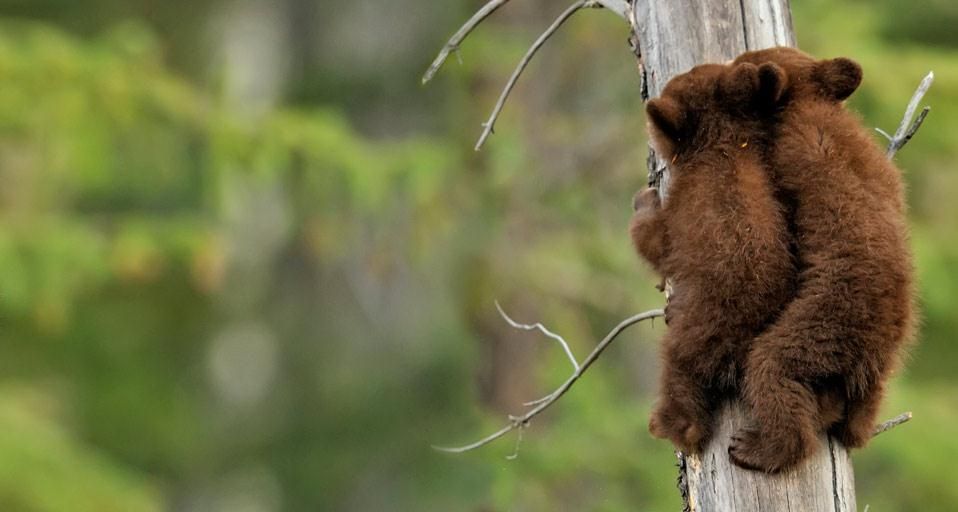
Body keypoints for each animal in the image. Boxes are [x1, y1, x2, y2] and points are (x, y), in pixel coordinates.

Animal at [630, 62, 797, 454]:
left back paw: (672, 425)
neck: (723, 146)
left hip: (699, 332)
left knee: (680, 372)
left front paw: (643, 199)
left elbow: (656, 241)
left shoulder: (684, 208)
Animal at [719, 47, 917, 473]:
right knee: (858, 408)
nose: (725, 65)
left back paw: (758, 447)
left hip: (823, 322)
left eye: (743, 62)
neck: (808, 101)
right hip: (879, 365)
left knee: (772, 368)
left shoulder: (797, 149)